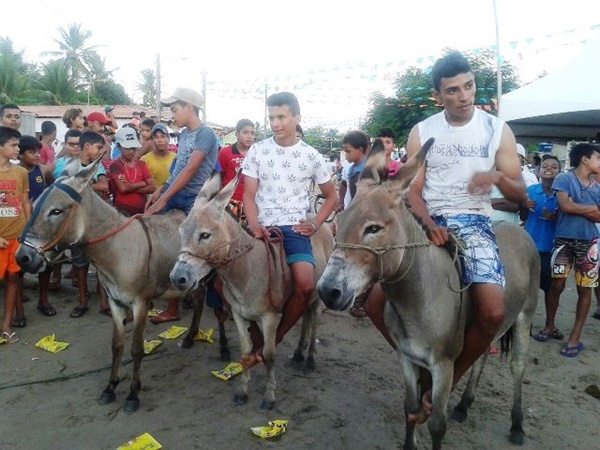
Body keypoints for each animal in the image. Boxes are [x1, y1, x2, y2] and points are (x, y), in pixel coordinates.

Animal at [15, 157, 227, 413]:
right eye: (34, 204)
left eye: (56, 211)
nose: (23, 258)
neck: (118, 249)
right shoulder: (116, 303)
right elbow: (116, 346)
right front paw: (110, 388)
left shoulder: (141, 303)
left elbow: (136, 349)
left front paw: (133, 394)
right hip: (194, 280)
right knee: (199, 299)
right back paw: (189, 337)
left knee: (220, 311)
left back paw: (224, 349)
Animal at [170, 172, 334, 409]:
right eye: (181, 230)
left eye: (205, 235)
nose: (177, 278)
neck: (245, 270)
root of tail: (317, 223)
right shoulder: (239, 315)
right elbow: (245, 350)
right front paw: (242, 391)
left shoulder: (269, 317)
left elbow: (270, 353)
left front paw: (269, 396)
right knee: (304, 317)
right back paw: (298, 354)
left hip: (316, 293)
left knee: (313, 321)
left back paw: (310, 358)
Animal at [317, 139, 539, 450]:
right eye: (340, 219)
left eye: (373, 228)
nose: (327, 291)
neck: (418, 299)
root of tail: (514, 228)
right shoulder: (406, 357)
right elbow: (409, 407)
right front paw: (413, 433)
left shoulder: (444, 366)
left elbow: (437, 425)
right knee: (482, 354)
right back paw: (464, 405)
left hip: (523, 315)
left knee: (517, 367)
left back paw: (517, 424)